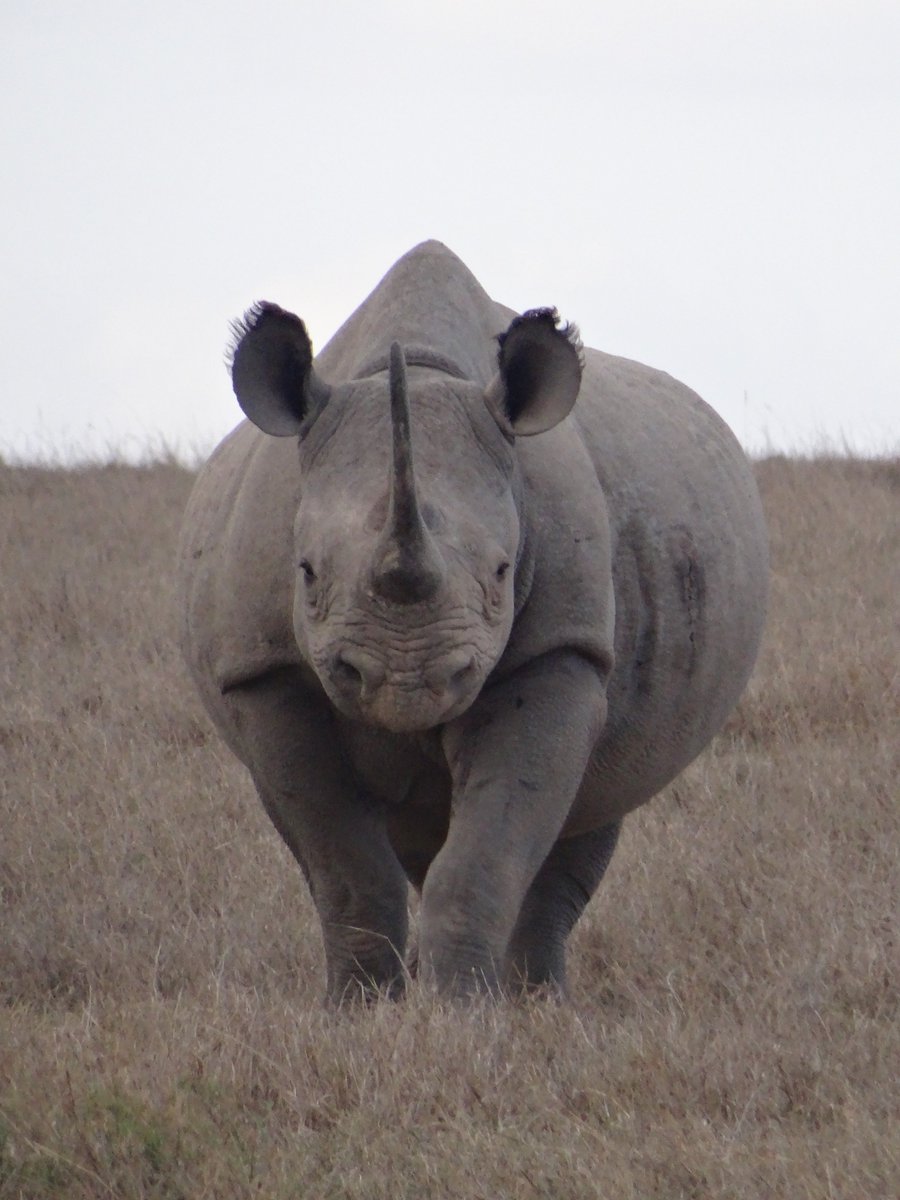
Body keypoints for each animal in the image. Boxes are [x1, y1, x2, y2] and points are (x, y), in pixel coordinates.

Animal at [178, 240, 768, 1003]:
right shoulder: (265, 671)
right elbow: (345, 869)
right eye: (304, 572)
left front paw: (464, 1014)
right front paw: (359, 1013)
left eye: (502, 573)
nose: (406, 682)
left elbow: (489, 853)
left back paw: (540, 1005)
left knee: (588, 814)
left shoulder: (558, 650)